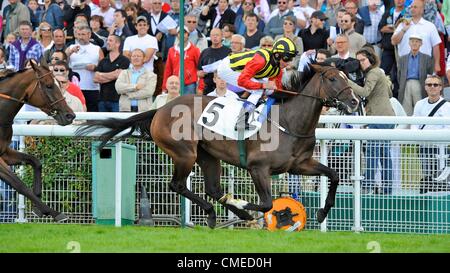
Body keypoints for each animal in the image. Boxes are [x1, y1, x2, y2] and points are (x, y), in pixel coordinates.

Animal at [0, 60, 75, 221]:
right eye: (49, 85)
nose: (70, 115)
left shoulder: (4, 152)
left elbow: (36, 162)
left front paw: (38, 207)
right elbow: (19, 184)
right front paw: (53, 211)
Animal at [77, 64, 358, 227]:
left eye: (347, 77)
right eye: (333, 79)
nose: (355, 101)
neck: (289, 122)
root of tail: (160, 110)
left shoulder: (299, 164)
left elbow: (334, 174)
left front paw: (322, 213)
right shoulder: (258, 167)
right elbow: (267, 204)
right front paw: (247, 207)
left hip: (207, 154)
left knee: (212, 188)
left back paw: (225, 213)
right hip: (185, 152)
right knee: (177, 185)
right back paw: (218, 213)